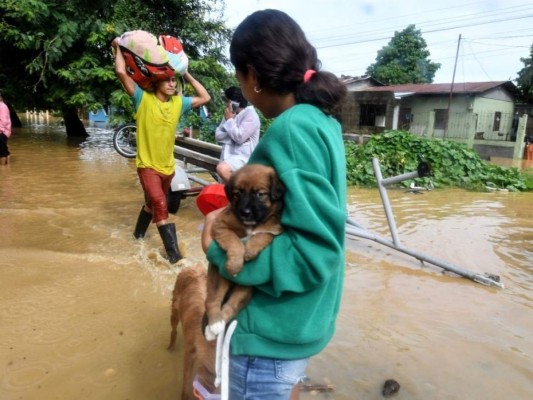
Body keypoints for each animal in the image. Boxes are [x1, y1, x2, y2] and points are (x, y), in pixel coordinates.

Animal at [166, 264, 216, 398]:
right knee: (173, 330)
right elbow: (186, 380)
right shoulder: (189, 353)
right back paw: (170, 347)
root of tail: (194, 266)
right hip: (175, 308)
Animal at [205, 164, 286, 340]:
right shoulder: (221, 226)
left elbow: (262, 236)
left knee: (231, 307)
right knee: (213, 301)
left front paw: (249, 250)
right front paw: (235, 264)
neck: (252, 224)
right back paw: (213, 326)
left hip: (245, 289)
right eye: (238, 194)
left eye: (259, 194)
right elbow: (235, 243)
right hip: (218, 278)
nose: (245, 212)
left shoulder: (274, 231)